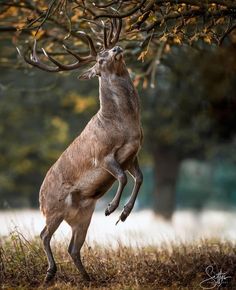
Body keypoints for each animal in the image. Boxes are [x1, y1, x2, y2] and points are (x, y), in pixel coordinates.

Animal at [19, 19, 142, 284]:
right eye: (100, 59)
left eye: (108, 51)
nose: (116, 48)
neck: (124, 128)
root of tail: (39, 198)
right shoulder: (102, 155)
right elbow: (122, 177)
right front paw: (111, 208)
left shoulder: (132, 155)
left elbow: (138, 178)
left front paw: (124, 214)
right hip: (54, 208)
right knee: (44, 235)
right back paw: (50, 272)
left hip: (81, 216)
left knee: (73, 247)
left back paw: (87, 278)